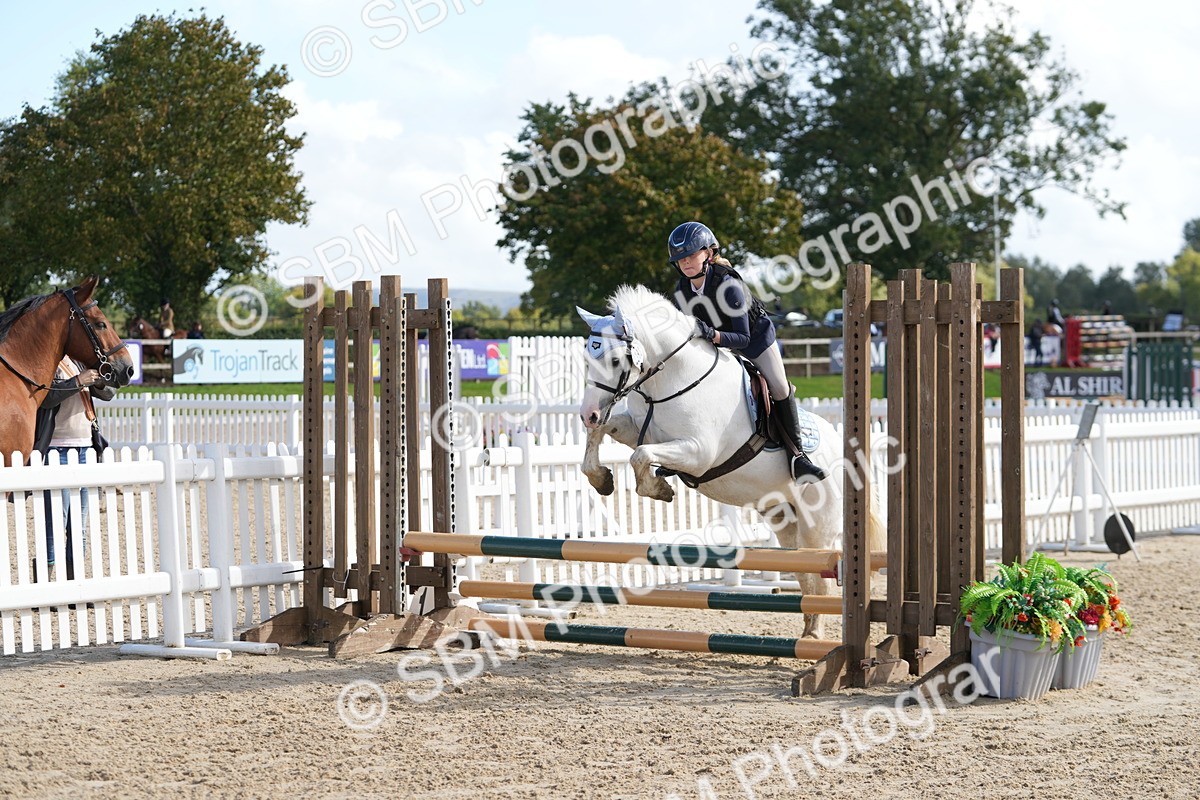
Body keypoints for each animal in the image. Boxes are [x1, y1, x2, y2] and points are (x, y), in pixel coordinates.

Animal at [576, 285, 884, 638]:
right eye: (588, 358)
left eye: (615, 360)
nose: (588, 413)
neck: (672, 379)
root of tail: (848, 455)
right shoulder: (637, 430)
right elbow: (602, 436)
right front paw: (601, 479)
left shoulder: (698, 452)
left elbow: (641, 456)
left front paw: (659, 489)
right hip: (785, 520)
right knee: (806, 576)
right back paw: (807, 633)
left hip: (817, 525)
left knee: (821, 581)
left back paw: (815, 638)